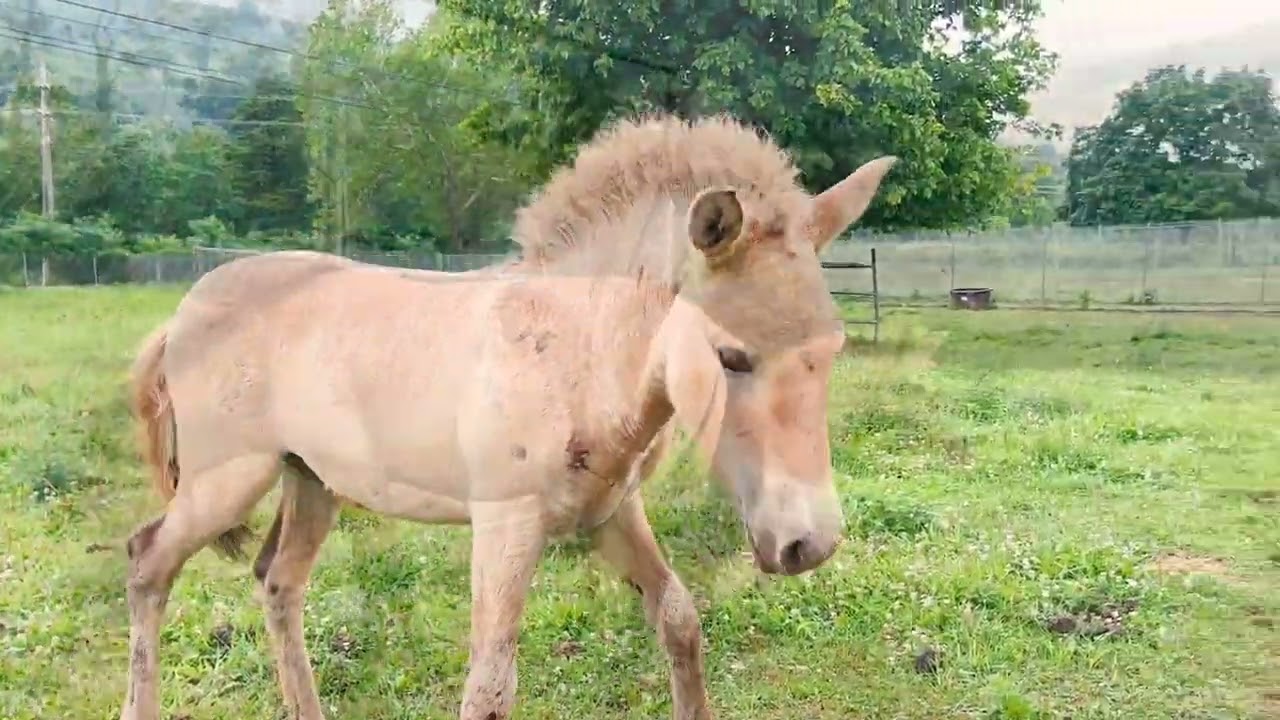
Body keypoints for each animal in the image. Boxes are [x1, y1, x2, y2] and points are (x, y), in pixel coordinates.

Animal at [117, 112, 897, 720]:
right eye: (732, 357)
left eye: (833, 349)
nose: (808, 544)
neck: (575, 350)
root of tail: (184, 311)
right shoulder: (504, 525)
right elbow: (489, 687)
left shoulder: (612, 512)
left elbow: (678, 619)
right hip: (227, 480)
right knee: (147, 563)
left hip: (310, 479)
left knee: (278, 582)